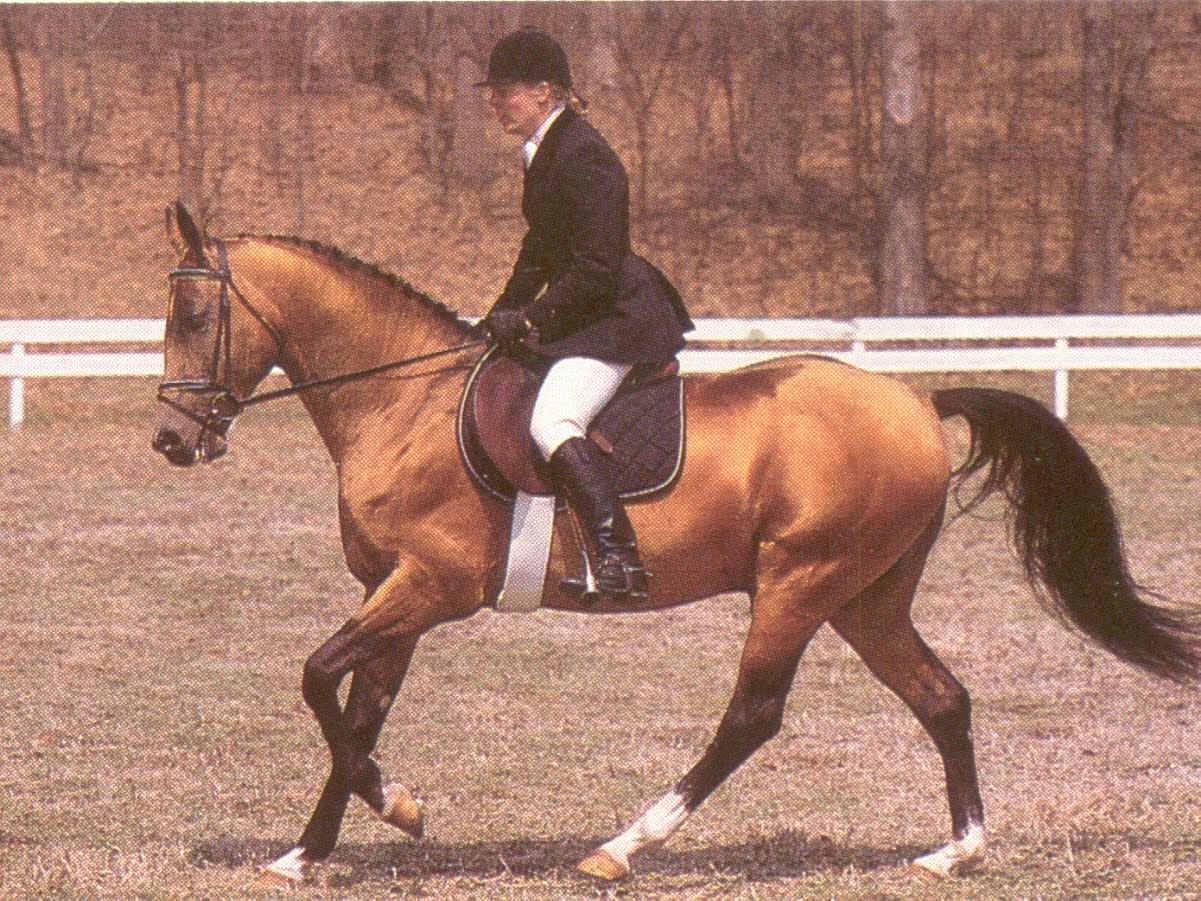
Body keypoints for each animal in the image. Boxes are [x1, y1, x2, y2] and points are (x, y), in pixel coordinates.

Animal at [153, 202, 1200, 887]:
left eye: (195, 314)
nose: (171, 441)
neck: (400, 400)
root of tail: (913, 397)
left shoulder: (431, 587)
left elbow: (315, 679)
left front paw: (398, 807)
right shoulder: (394, 596)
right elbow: (355, 711)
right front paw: (307, 850)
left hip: (797, 582)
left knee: (753, 714)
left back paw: (623, 845)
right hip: (865, 597)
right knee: (941, 697)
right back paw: (957, 849)